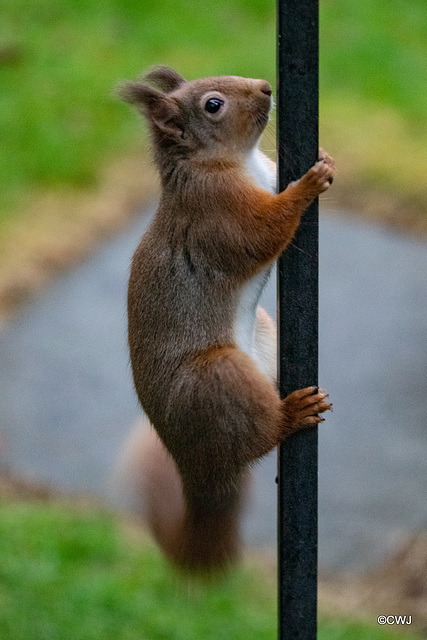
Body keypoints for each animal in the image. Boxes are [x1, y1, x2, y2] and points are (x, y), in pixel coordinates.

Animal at [118, 66, 338, 576]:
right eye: (213, 105)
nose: (266, 88)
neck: (240, 161)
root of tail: (197, 468)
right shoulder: (218, 211)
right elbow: (263, 231)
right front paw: (308, 184)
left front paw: (325, 157)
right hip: (217, 377)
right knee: (259, 436)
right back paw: (292, 414)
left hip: (263, 336)